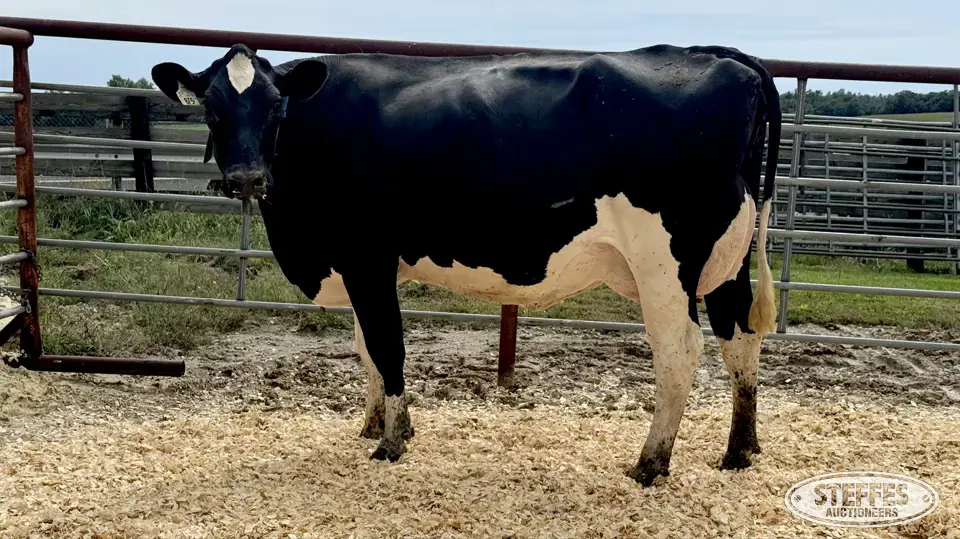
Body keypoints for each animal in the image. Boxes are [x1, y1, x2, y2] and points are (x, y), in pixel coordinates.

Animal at [151, 42, 781, 486]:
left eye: (274, 107)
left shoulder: (366, 257)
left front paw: (392, 443)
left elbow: (387, 346)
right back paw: (739, 450)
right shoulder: (361, 265)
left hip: (665, 263)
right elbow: (365, 348)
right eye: (211, 109)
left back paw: (650, 464)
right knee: (740, 339)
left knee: (680, 351)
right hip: (724, 260)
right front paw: (376, 423)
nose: (246, 178)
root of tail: (720, 56)